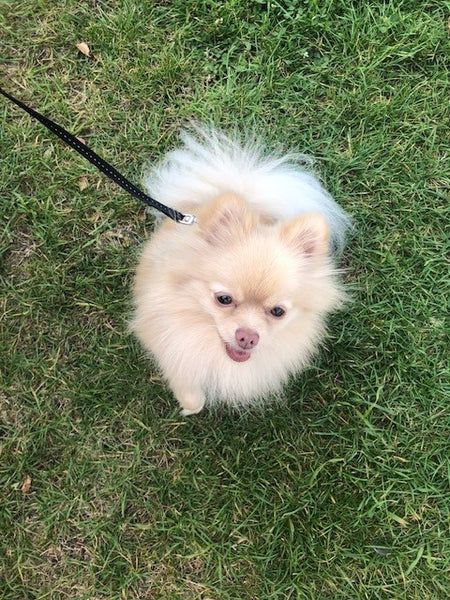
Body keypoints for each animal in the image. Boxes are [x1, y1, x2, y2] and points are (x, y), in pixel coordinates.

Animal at [131, 126, 352, 414]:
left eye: (278, 312)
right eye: (224, 299)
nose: (247, 337)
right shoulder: (171, 345)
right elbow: (186, 382)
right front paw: (191, 406)